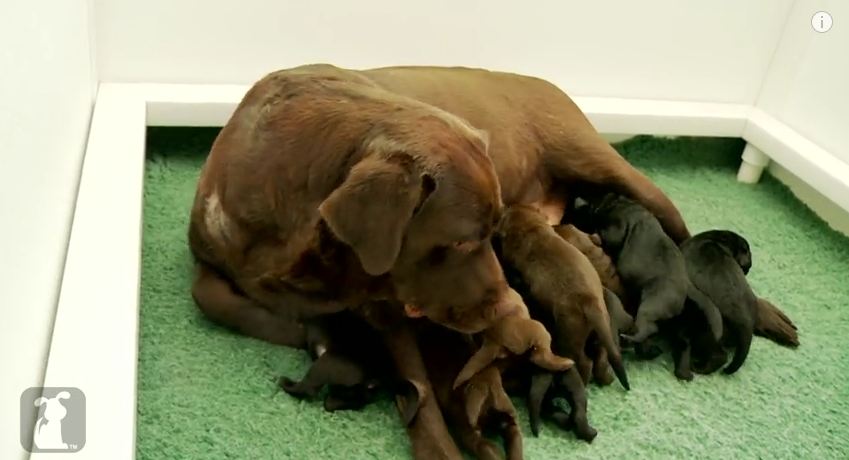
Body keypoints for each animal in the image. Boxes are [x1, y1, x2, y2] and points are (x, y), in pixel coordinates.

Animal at [568, 192, 724, 350]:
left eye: (591, 202)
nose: (576, 199)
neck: (615, 204)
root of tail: (686, 285)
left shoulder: (615, 228)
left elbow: (604, 234)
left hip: (650, 304)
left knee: (648, 327)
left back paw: (628, 338)